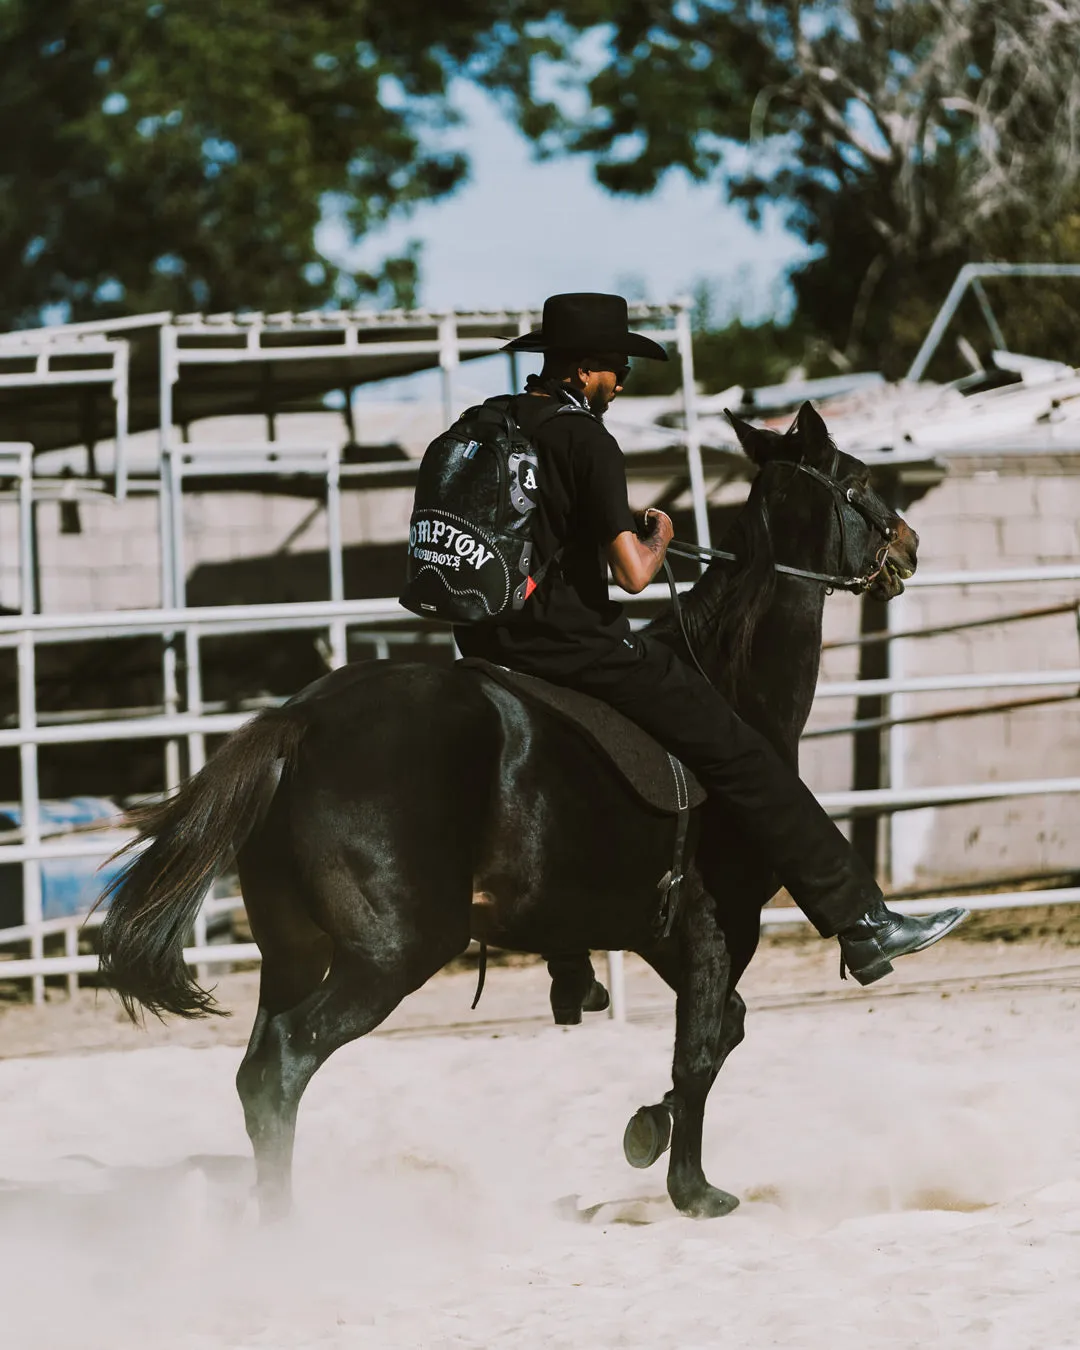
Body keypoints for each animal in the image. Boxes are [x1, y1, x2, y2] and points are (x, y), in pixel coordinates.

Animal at [97, 402, 918, 1225]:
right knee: (285, 1062)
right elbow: (702, 1050)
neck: (730, 680)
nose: (908, 543)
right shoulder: (722, 925)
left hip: (293, 947)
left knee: (255, 1073)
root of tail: (299, 720)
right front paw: (693, 1188)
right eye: (859, 480)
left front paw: (649, 1130)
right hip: (392, 953)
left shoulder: (661, 932)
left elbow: (725, 1030)